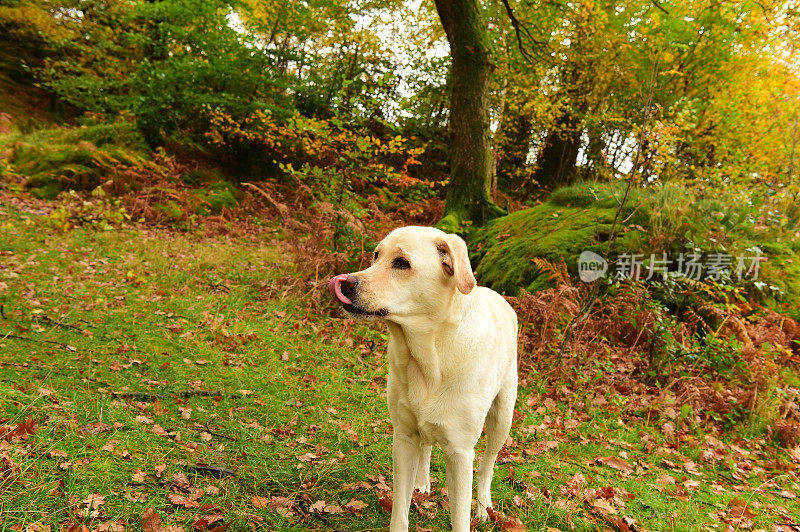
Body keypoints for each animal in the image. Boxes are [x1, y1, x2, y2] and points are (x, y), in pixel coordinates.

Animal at [326, 225, 520, 532]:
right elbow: (400, 511)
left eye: (402, 263)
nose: (346, 283)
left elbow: (460, 519)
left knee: (488, 464)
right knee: (426, 445)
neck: (428, 357)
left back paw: (483, 505)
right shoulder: (403, 439)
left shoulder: (460, 454)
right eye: (376, 256)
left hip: (503, 417)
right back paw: (422, 482)